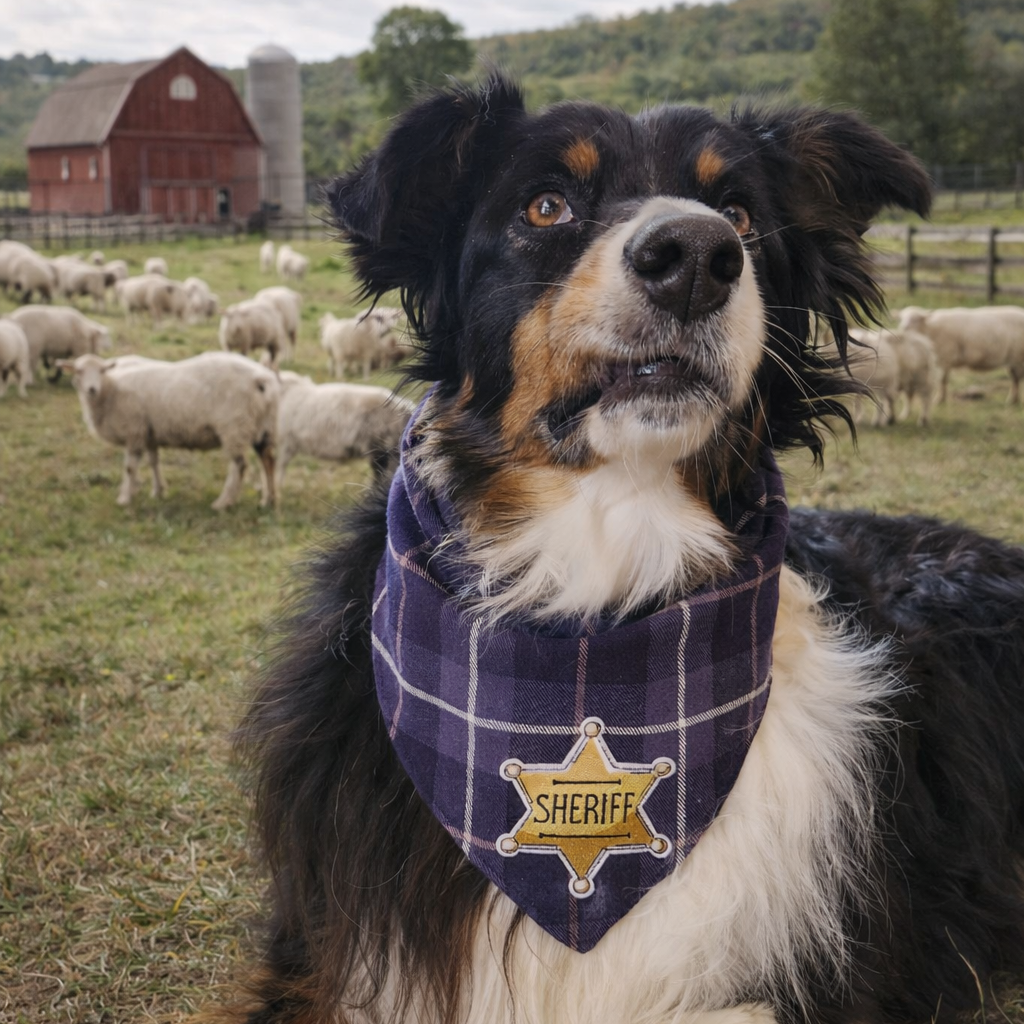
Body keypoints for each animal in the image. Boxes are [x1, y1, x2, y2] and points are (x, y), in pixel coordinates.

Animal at [62, 351, 279, 510]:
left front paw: (125, 498)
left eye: (101, 370)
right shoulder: (149, 433)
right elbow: (153, 462)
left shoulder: (134, 431)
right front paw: (157, 491)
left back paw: (223, 502)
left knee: (239, 465)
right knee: (268, 461)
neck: (111, 391)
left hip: (234, 426)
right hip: (262, 427)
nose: (91, 389)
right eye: (78, 371)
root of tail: (261, 377)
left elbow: (130, 468)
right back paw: (269, 500)